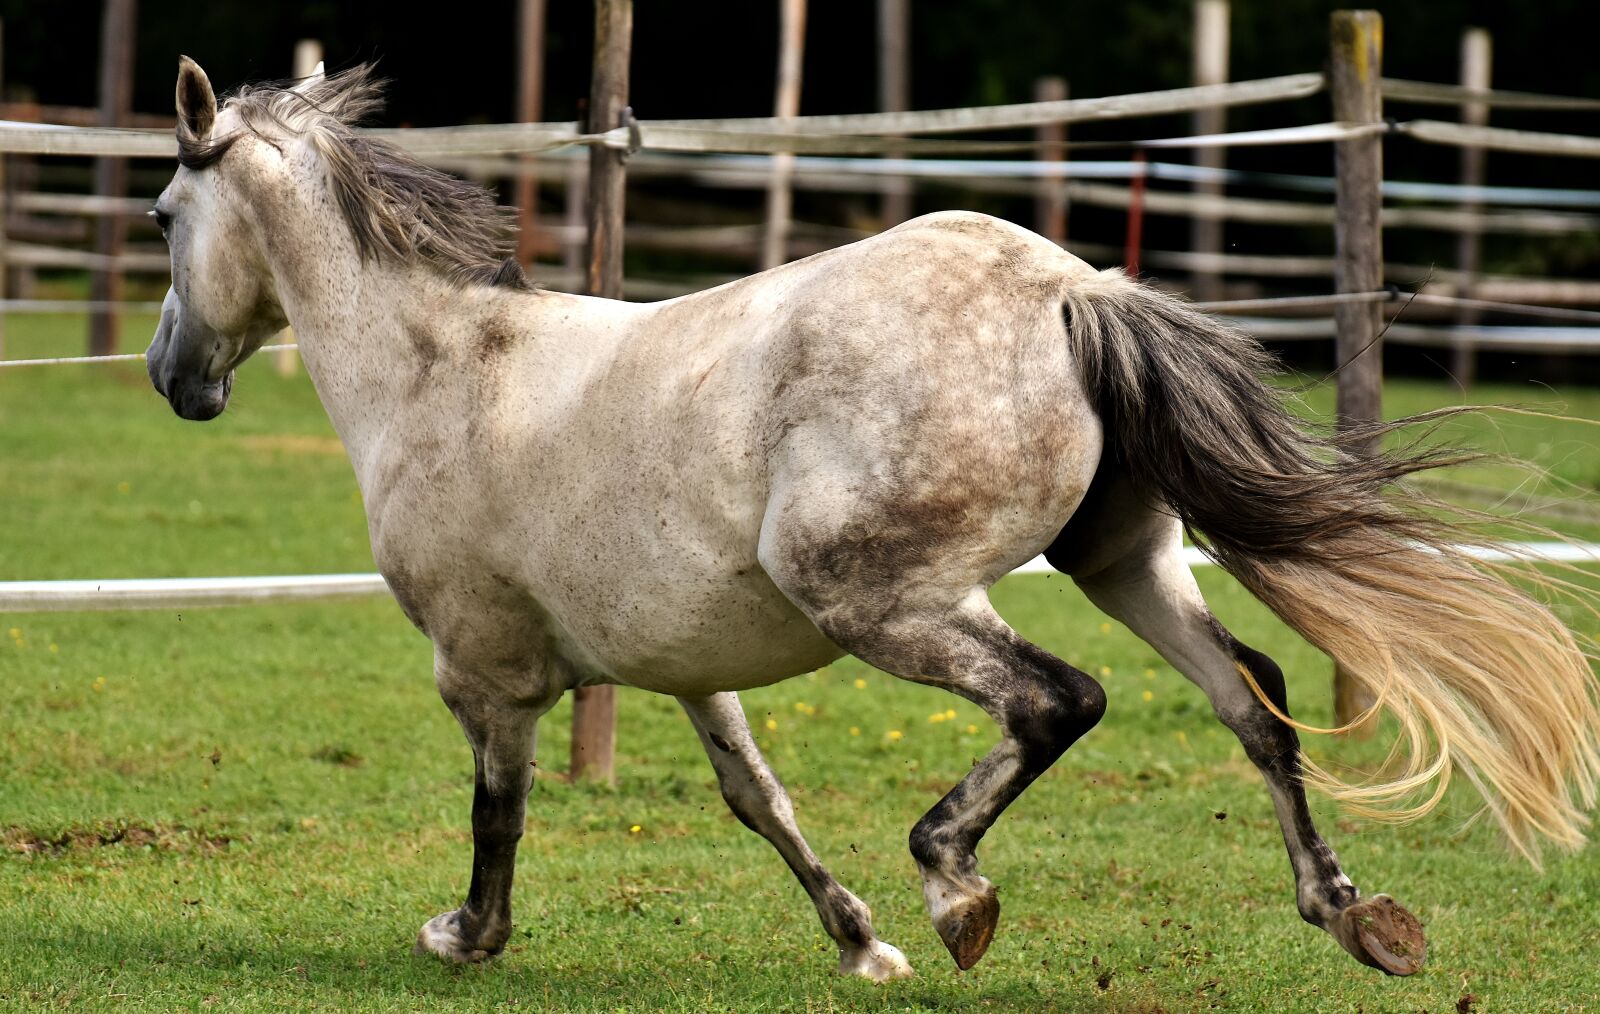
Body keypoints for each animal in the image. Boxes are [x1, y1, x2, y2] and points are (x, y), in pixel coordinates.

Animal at [144, 58, 1600, 982]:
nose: (174, 379)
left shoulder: (484, 670)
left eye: (161, 215)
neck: (439, 368)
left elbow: (498, 813)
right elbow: (761, 799)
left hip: (883, 596)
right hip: (1125, 560)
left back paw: (957, 884)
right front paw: (858, 941)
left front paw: (465, 935)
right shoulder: (687, 665)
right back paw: (1353, 915)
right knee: (1255, 701)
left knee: (1061, 699)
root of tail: (1073, 288)